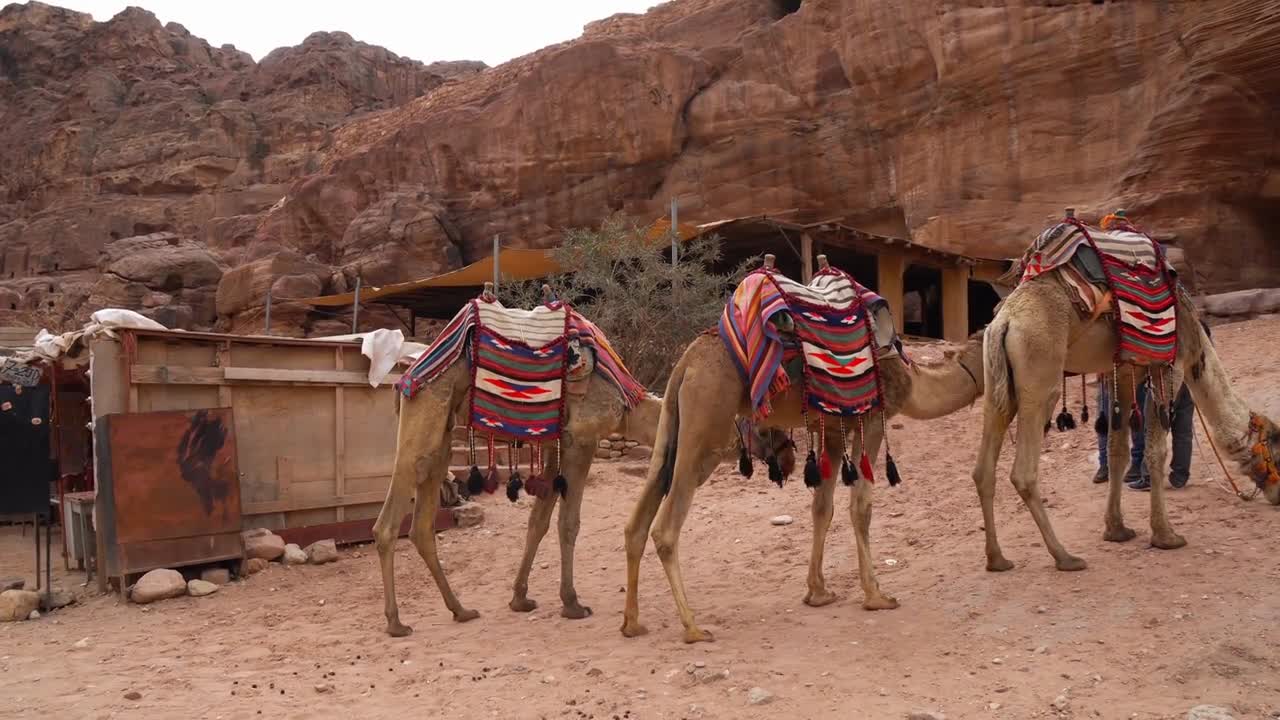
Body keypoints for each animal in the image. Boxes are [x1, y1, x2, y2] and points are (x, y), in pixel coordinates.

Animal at [371, 284, 793, 632]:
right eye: (766, 428)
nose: (789, 457)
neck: (626, 402)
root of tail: (409, 371)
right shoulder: (581, 439)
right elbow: (568, 523)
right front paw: (572, 603)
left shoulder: (555, 446)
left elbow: (538, 522)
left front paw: (520, 597)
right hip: (425, 413)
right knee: (388, 521)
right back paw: (396, 622)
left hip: (442, 434)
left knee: (422, 525)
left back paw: (460, 609)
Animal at [622, 254, 988, 640]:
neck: (913, 379)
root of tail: (686, 362)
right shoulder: (872, 419)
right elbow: (860, 507)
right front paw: (876, 595)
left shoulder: (831, 429)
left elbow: (821, 508)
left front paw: (818, 592)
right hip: (707, 421)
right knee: (666, 528)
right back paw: (692, 627)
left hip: (672, 422)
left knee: (638, 520)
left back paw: (632, 623)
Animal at [972, 257, 1274, 571]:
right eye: (1275, 446)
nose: (1276, 497)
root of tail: (1004, 321)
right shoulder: (1170, 366)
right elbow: (1156, 452)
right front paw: (1166, 536)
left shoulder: (1124, 373)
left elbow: (1117, 451)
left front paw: (1117, 530)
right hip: (1040, 371)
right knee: (1024, 472)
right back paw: (1065, 557)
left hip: (997, 381)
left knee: (983, 469)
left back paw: (997, 559)